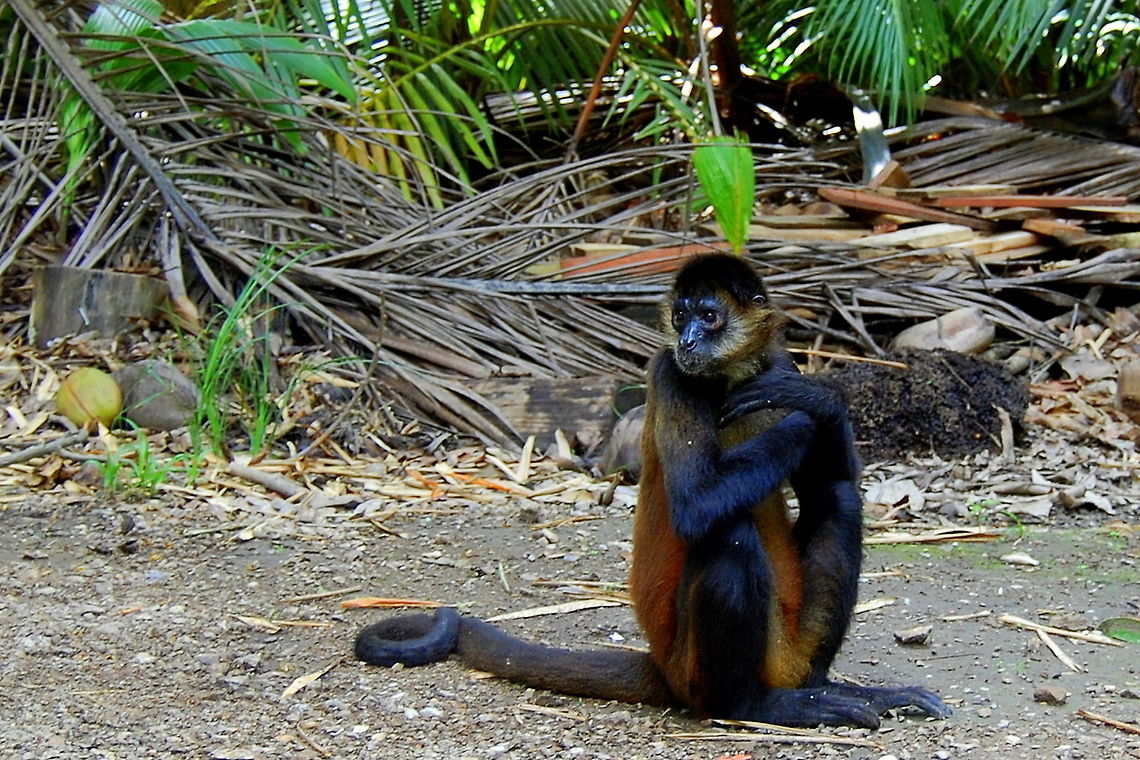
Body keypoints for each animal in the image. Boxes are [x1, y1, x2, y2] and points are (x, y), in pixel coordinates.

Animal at [355, 253, 951, 728]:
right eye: (681, 316)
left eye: (709, 316)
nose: (687, 339)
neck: (730, 378)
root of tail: (663, 665)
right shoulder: (671, 373)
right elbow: (695, 508)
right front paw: (811, 409)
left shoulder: (776, 362)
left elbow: (833, 473)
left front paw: (816, 400)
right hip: (694, 668)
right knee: (727, 534)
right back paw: (754, 708)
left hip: (787, 646)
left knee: (836, 498)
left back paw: (819, 687)